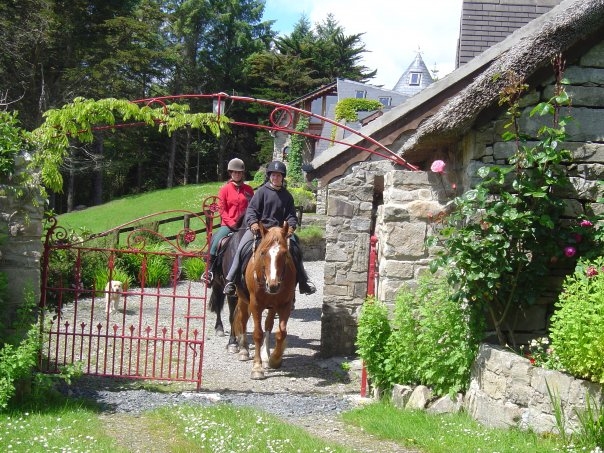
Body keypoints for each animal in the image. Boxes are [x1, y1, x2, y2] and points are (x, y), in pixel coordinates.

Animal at [232, 221, 296, 380]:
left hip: (272, 307)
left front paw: (274, 359)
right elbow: (257, 334)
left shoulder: (284, 305)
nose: (273, 285)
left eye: (284, 253)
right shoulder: (256, 305)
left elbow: (281, 333)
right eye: (262, 253)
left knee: (268, 325)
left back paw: (266, 357)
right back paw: (244, 350)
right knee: (242, 319)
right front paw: (257, 368)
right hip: (243, 299)